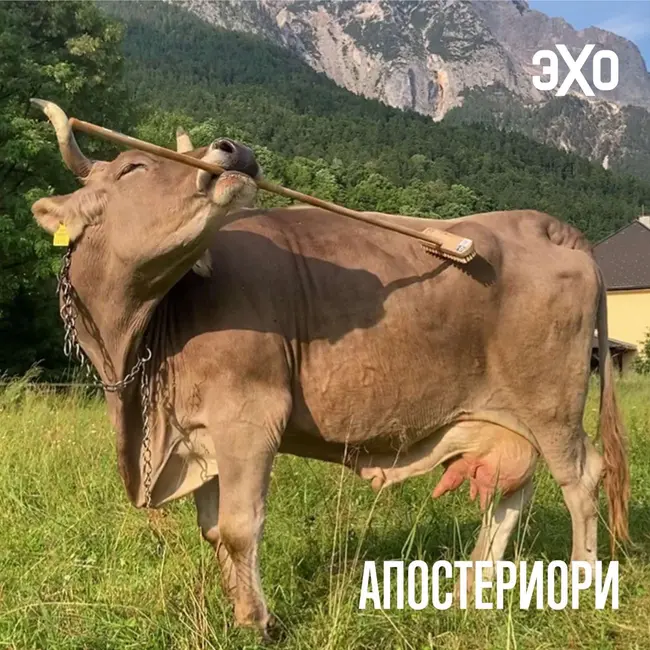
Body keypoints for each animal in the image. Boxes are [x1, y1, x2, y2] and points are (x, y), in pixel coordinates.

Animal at [30, 100, 629, 639]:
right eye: (132, 168)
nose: (233, 149)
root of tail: (542, 224)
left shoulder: (249, 417)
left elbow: (239, 527)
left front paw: (258, 623)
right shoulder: (198, 433)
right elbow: (213, 529)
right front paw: (241, 611)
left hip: (552, 403)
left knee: (581, 478)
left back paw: (580, 584)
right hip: (509, 416)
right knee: (515, 489)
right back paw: (469, 589)